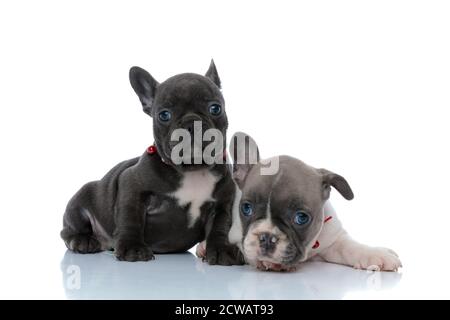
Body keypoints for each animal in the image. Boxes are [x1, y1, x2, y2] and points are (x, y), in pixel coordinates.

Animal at [62, 61, 243, 264]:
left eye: (215, 108)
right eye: (164, 115)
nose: (191, 122)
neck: (192, 170)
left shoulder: (222, 204)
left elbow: (220, 227)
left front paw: (221, 250)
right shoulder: (132, 187)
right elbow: (131, 218)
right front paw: (132, 248)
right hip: (79, 202)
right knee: (68, 230)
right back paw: (82, 240)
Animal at [223, 131, 402, 272]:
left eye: (301, 218)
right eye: (246, 208)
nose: (267, 237)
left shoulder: (334, 239)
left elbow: (350, 247)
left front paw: (376, 254)